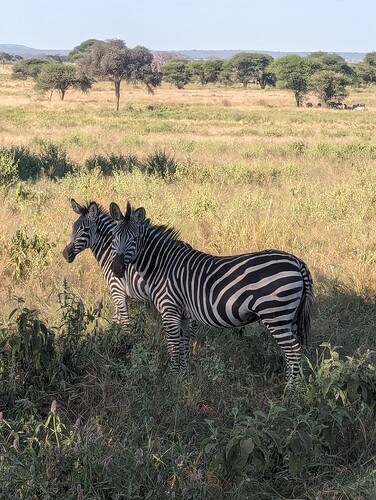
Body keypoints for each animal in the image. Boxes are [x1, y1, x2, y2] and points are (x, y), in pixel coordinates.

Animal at [109, 200, 314, 378]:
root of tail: (297, 262)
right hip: (289, 318)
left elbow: (174, 348)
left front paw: (172, 381)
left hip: (275, 315)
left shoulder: (169, 311)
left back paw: (290, 390)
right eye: (114, 238)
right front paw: (184, 378)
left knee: (294, 353)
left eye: (134, 239)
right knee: (293, 353)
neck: (162, 265)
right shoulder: (183, 316)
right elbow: (183, 347)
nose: (117, 269)